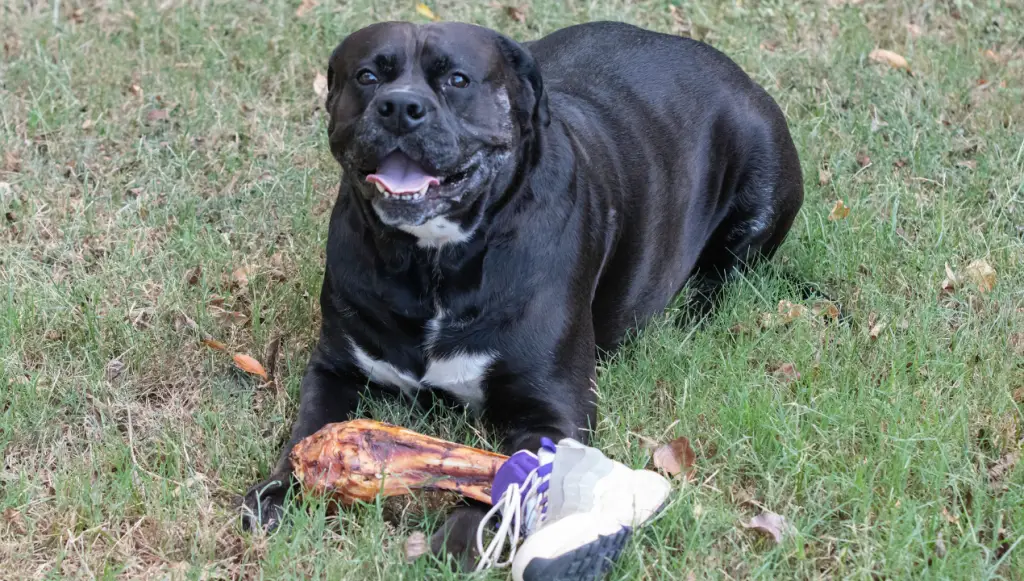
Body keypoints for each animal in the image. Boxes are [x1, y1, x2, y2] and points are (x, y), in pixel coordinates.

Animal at [243, 19, 802, 557]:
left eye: (457, 79)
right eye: (367, 76)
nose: (400, 107)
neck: (434, 264)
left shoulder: (553, 409)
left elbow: (511, 481)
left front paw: (464, 537)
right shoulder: (334, 367)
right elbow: (309, 429)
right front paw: (279, 491)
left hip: (761, 182)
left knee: (728, 271)